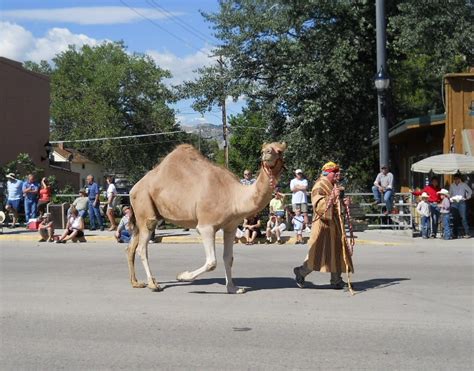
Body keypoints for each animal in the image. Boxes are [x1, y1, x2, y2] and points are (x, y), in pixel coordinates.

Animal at [126, 142, 286, 294]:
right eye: (263, 149)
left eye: (280, 150)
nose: (266, 154)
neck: (233, 196)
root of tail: (133, 188)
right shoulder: (206, 226)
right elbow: (211, 262)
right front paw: (183, 276)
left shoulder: (231, 227)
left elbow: (228, 258)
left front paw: (233, 289)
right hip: (145, 205)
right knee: (142, 246)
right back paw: (153, 284)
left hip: (142, 215)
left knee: (131, 247)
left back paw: (136, 283)